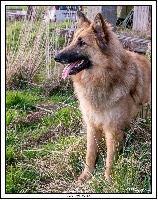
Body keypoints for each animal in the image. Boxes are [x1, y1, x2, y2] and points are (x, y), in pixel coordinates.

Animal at [54, 10, 151, 183]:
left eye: (82, 43)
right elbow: (90, 153)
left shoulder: (112, 131)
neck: (101, 79)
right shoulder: (92, 126)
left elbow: (110, 160)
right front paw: (86, 176)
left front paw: (108, 181)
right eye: (73, 41)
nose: (56, 57)